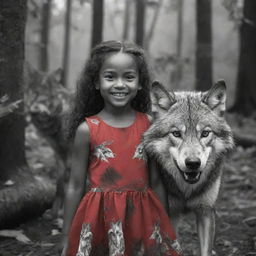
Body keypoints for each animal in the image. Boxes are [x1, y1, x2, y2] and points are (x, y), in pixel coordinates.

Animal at [143, 80, 235, 256]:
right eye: (176, 134)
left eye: (205, 133)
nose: (193, 163)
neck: (186, 190)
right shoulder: (170, 215)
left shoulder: (206, 212)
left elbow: (206, 250)